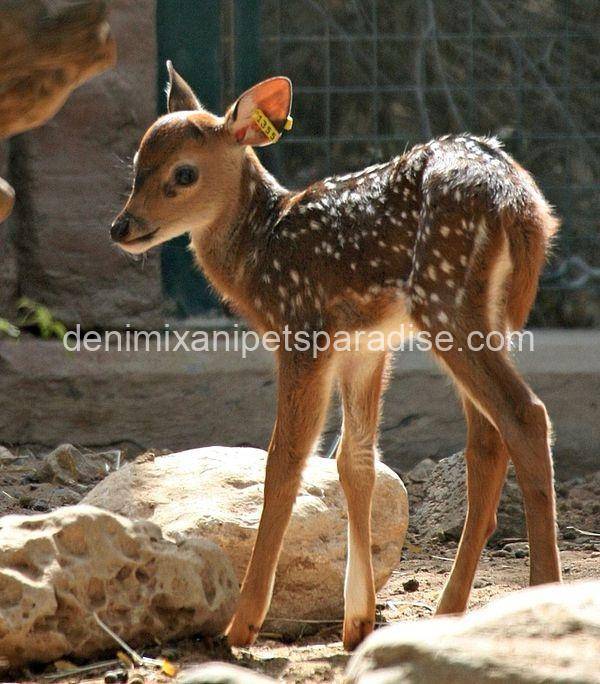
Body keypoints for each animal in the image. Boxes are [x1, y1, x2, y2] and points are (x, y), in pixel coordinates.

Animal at [111, 62, 561, 651]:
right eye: (137, 165)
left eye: (183, 174)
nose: (121, 227)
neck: (263, 250)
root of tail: (518, 203)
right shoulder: (366, 347)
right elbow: (356, 462)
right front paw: (357, 622)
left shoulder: (303, 331)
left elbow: (285, 459)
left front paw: (242, 624)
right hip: (495, 314)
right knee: (487, 438)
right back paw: (450, 612)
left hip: (446, 299)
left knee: (525, 415)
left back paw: (542, 597)